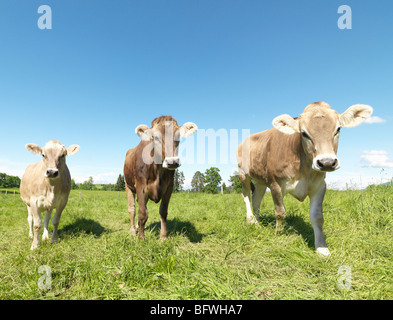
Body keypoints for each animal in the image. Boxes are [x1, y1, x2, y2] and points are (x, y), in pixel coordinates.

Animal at [237, 101, 372, 256]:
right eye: (304, 133)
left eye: (338, 129)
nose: (327, 162)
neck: (304, 169)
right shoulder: (275, 183)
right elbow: (280, 212)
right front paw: (278, 234)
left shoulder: (320, 185)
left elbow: (317, 216)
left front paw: (322, 248)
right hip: (243, 174)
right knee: (246, 195)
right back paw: (250, 221)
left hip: (260, 181)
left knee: (256, 199)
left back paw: (258, 222)